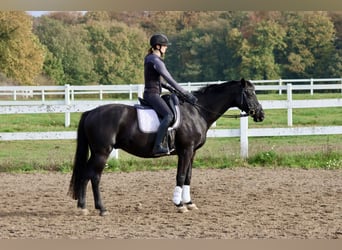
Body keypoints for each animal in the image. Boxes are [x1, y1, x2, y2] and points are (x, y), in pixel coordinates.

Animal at [67, 78, 264, 215]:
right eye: (250, 93)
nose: (261, 114)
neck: (197, 111)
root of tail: (91, 112)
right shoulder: (186, 151)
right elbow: (181, 176)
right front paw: (179, 204)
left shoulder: (191, 153)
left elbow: (188, 177)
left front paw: (189, 203)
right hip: (102, 153)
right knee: (94, 177)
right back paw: (101, 208)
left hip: (97, 153)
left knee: (85, 175)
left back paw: (83, 207)